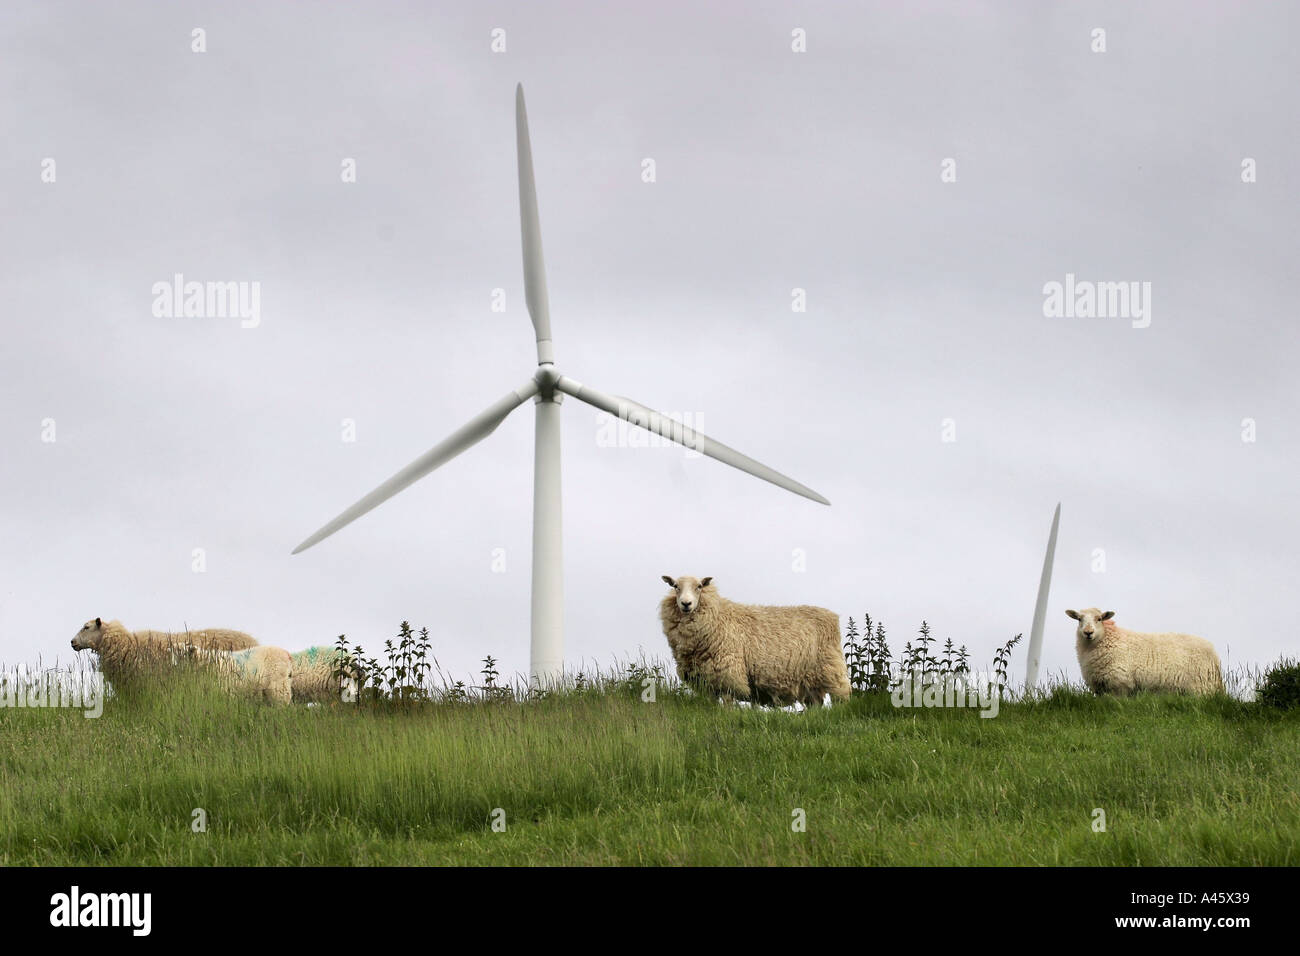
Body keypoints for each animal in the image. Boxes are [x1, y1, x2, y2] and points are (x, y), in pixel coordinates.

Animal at [659, 575, 850, 707]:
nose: (686, 604)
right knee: (815, 704)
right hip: (810, 681)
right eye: (675, 586)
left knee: (841, 697)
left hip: (832, 670)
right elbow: (711, 703)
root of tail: (832, 616)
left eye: (699, 586)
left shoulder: (728, 673)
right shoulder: (706, 679)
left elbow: (727, 702)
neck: (719, 616)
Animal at [1065, 607, 1224, 696]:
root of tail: (1214, 654)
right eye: (1079, 619)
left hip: (1201, 686)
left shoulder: (1120, 683)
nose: (1088, 632)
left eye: (1099, 619)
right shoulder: (1100, 687)